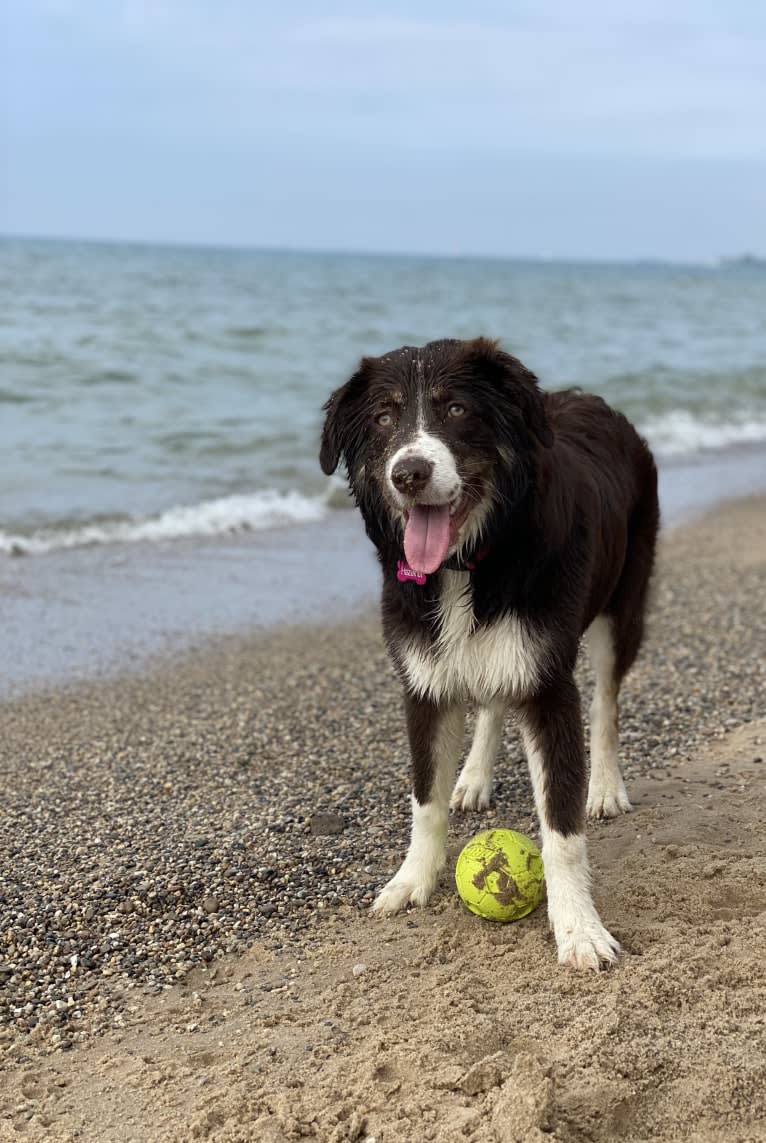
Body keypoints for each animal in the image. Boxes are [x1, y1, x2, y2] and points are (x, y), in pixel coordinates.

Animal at [317, 333, 658, 969]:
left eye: (456, 409)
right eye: (383, 418)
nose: (409, 473)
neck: (465, 565)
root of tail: (590, 398)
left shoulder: (547, 683)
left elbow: (561, 829)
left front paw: (578, 928)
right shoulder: (423, 683)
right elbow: (424, 798)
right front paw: (413, 879)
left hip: (621, 604)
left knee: (606, 700)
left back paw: (605, 786)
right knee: (495, 701)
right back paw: (473, 776)